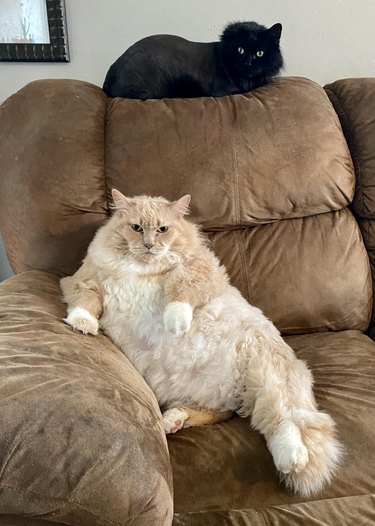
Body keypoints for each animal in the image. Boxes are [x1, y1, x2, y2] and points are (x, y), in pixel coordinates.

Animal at [61, 191, 344, 500]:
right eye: (136, 228)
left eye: (163, 229)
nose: (149, 245)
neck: (141, 270)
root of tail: (237, 393)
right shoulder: (84, 279)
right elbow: (85, 302)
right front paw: (82, 325)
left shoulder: (200, 269)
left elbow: (181, 291)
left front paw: (175, 323)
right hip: (217, 394)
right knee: (220, 413)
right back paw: (172, 420)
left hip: (267, 374)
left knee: (285, 419)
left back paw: (291, 459)